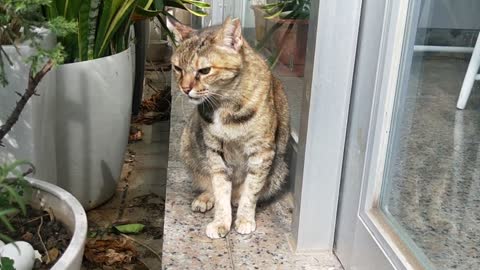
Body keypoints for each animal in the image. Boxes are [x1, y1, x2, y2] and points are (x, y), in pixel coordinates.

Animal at [169, 16, 288, 238]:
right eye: (178, 68)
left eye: (204, 71)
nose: (185, 88)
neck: (224, 104)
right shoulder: (215, 150)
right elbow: (220, 188)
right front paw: (221, 221)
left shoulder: (262, 152)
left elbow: (251, 191)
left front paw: (244, 218)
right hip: (187, 143)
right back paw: (205, 198)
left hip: (279, 171)